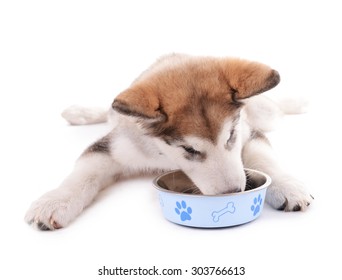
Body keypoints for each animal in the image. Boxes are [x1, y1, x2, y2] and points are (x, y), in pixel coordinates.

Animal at [24, 53, 312, 230]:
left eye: (230, 135)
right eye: (189, 149)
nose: (233, 193)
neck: (164, 157)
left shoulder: (249, 133)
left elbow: (265, 159)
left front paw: (288, 186)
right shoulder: (114, 146)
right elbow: (82, 174)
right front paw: (55, 201)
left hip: (264, 114)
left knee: (276, 109)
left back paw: (297, 102)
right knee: (108, 110)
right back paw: (80, 113)